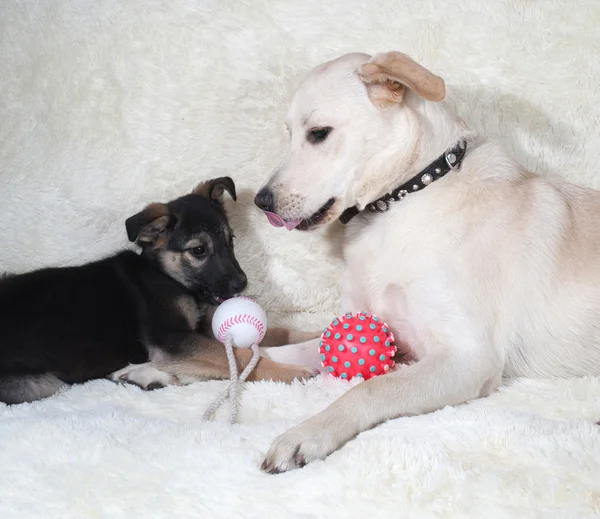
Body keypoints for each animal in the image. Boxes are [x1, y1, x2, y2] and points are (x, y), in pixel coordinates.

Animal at [0, 179, 316, 406]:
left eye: (231, 241)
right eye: (198, 250)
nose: (242, 284)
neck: (164, 275)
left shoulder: (197, 329)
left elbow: (278, 332)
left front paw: (315, 333)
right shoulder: (171, 338)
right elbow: (240, 358)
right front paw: (293, 372)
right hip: (40, 384)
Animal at [255, 50, 600, 474]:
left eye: (318, 133)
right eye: (289, 133)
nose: (261, 202)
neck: (405, 198)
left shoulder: (467, 358)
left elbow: (372, 387)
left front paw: (307, 433)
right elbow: (290, 350)